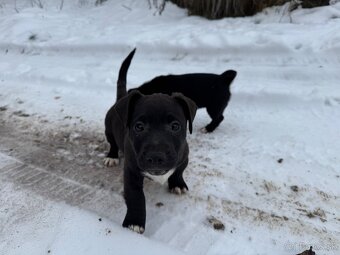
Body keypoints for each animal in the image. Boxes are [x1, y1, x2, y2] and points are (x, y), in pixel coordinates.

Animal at [105, 48, 198, 234]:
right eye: (139, 127)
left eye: (175, 126)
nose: (156, 157)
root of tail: (120, 99)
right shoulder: (131, 172)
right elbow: (136, 197)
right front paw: (134, 222)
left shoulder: (183, 156)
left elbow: (179, 171)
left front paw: (177, 183)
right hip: (108, 128)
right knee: (112, 144)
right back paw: (112, 156)